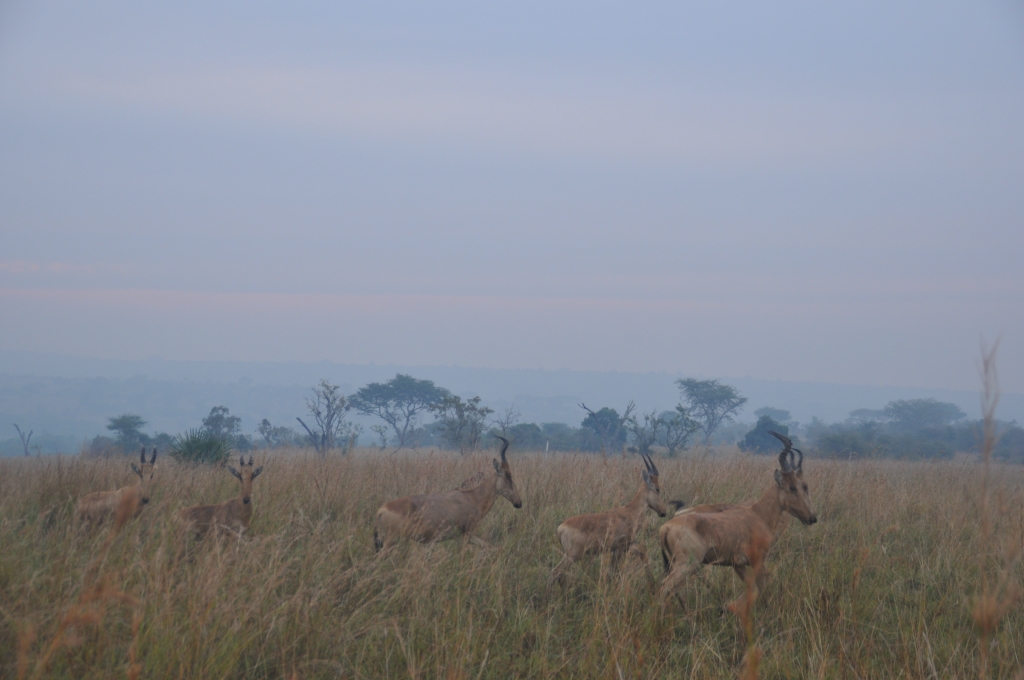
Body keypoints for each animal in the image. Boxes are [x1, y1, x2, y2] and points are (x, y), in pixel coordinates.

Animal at [372, 436, 524, 553]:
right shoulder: (464, 536)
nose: (518, 503)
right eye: (508, 476)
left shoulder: (468, 536)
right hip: (391, 541)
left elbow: (491, 547)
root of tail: (381, 510)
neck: (471, 497)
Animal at [548, 450, 684, 589]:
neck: (629, 512)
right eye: (657, 489)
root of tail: (561, 528)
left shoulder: (626, 547)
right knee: (555, 573)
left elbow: (642, 552)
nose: (663, 512)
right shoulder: (618, 548)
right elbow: (612, 572)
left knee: (561, 576)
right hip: (573, 555)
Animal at [659, 432, 819, 614]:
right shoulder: (757, 561)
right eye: (793, 487)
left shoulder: (738, 564)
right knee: (666, 587)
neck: (758, 514)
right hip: (687, 565)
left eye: (803, 486)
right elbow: (759, 584)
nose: (811, 517)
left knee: (673, 589)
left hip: (675, 564)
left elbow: (750, 585)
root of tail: (666, 527)